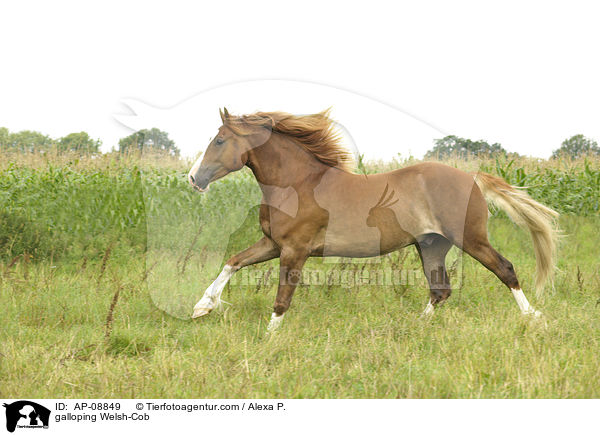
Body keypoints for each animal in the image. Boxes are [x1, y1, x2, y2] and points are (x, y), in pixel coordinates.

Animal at [186, 109, 556, 330]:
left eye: (219, 140)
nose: (193, 178)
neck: (298, 184)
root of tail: (472, 177)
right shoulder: (273, 244)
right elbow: (233, 262)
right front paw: (202, 307)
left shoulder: (294, 250)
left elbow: (281, 298)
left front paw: (269, 337)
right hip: (432, 244)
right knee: (441, 289)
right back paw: (417, 326)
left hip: (471, 238)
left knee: (505, 269)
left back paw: (534, 317)